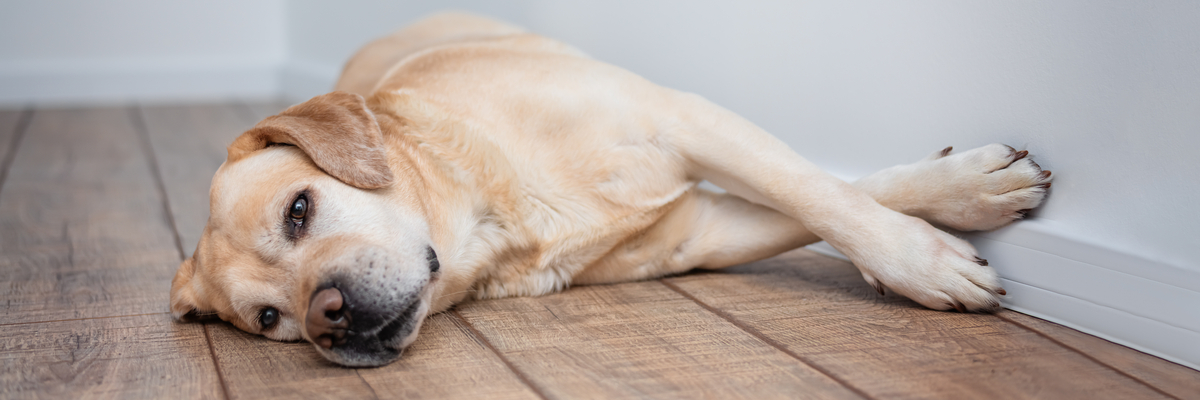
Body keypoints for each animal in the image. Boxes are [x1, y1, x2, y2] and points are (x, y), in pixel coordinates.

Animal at [166, 14, 1051, 365]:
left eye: (299, 209)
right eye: (270, 320)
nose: (328, 319)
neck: (496, 211)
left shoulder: (684, 118)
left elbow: (823, 194)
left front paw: (931, 242)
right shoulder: (703, 231)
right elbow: (823, 199)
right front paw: (943, 221)